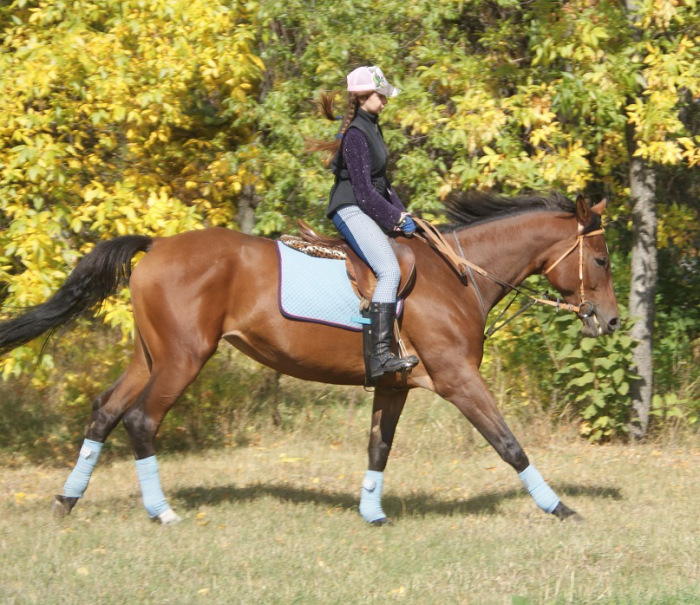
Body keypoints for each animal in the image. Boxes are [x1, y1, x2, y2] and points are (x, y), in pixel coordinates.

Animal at [0, 192, 616, 524]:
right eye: (603, 260)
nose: (609, 321)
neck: (457, 277)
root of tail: (158, 244)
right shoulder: (458, 378)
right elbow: (509, 444)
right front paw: (559, 508)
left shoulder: (394, 385)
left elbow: (378, 447)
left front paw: (372, 514)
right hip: (182, 359)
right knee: (140, 419)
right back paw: (162, 511)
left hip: (150, 356)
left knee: (105, 411)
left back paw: (65, 501)